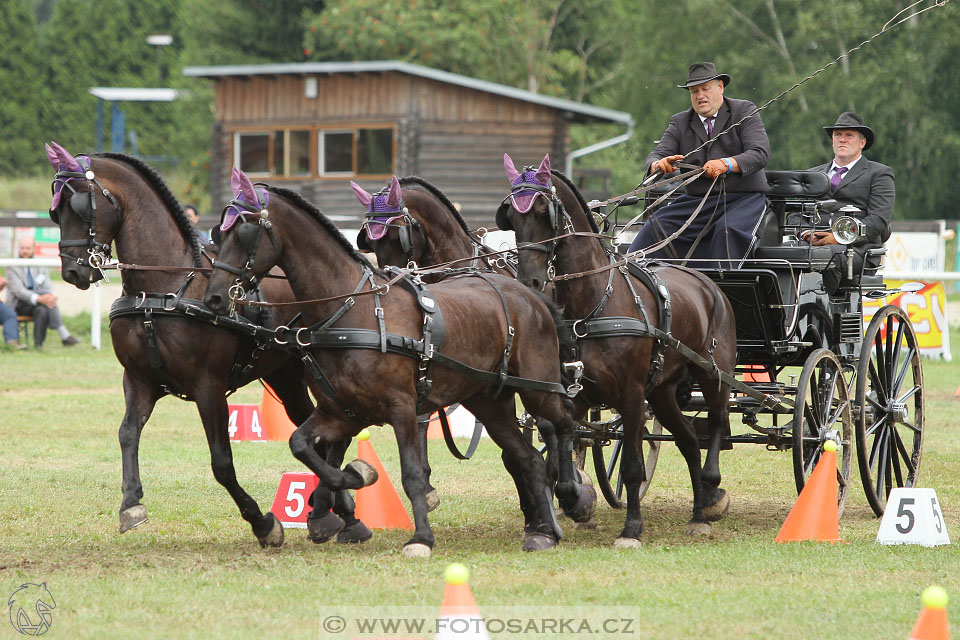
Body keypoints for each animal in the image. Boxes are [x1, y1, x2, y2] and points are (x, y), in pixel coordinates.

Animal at [44, 142, 372, 548]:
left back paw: (333, 510)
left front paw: (263, 523)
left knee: (338, 430)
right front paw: (131, 502)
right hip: (286, 375)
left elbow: (222, 462)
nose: (73, 271)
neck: (164, 288)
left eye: (77, 205)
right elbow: (127, 433)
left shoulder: (208, 386)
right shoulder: (139, 380)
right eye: (54, 212)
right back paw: (339, 514)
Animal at [203, 169, 580, 556]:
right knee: (528, 457)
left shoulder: (402, 409)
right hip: (488, 403)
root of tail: (531, 293)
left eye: (244, 232)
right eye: (220, 232)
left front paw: (421, 537)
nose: (214, 296)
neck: (353, 311)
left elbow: (411, 474)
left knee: (565, 422)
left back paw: (570, 495)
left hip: (538, 389)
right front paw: (355, 477)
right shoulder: (341, 412)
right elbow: (303, 446)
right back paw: (544, 531)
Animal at [498, 154, 740, 544]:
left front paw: (632, 528)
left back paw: (712, 490)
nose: (530, 281)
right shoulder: (576, 393)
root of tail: (708, 282)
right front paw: (575, 500)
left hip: (713, 373)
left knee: (717, 420)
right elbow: (559, 452)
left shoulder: (630, 394)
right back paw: (698, 514)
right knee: (689, 440)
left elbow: (631, 466)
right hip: (661, 392)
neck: (593, 303)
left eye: (543, 212)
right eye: (511, 216)